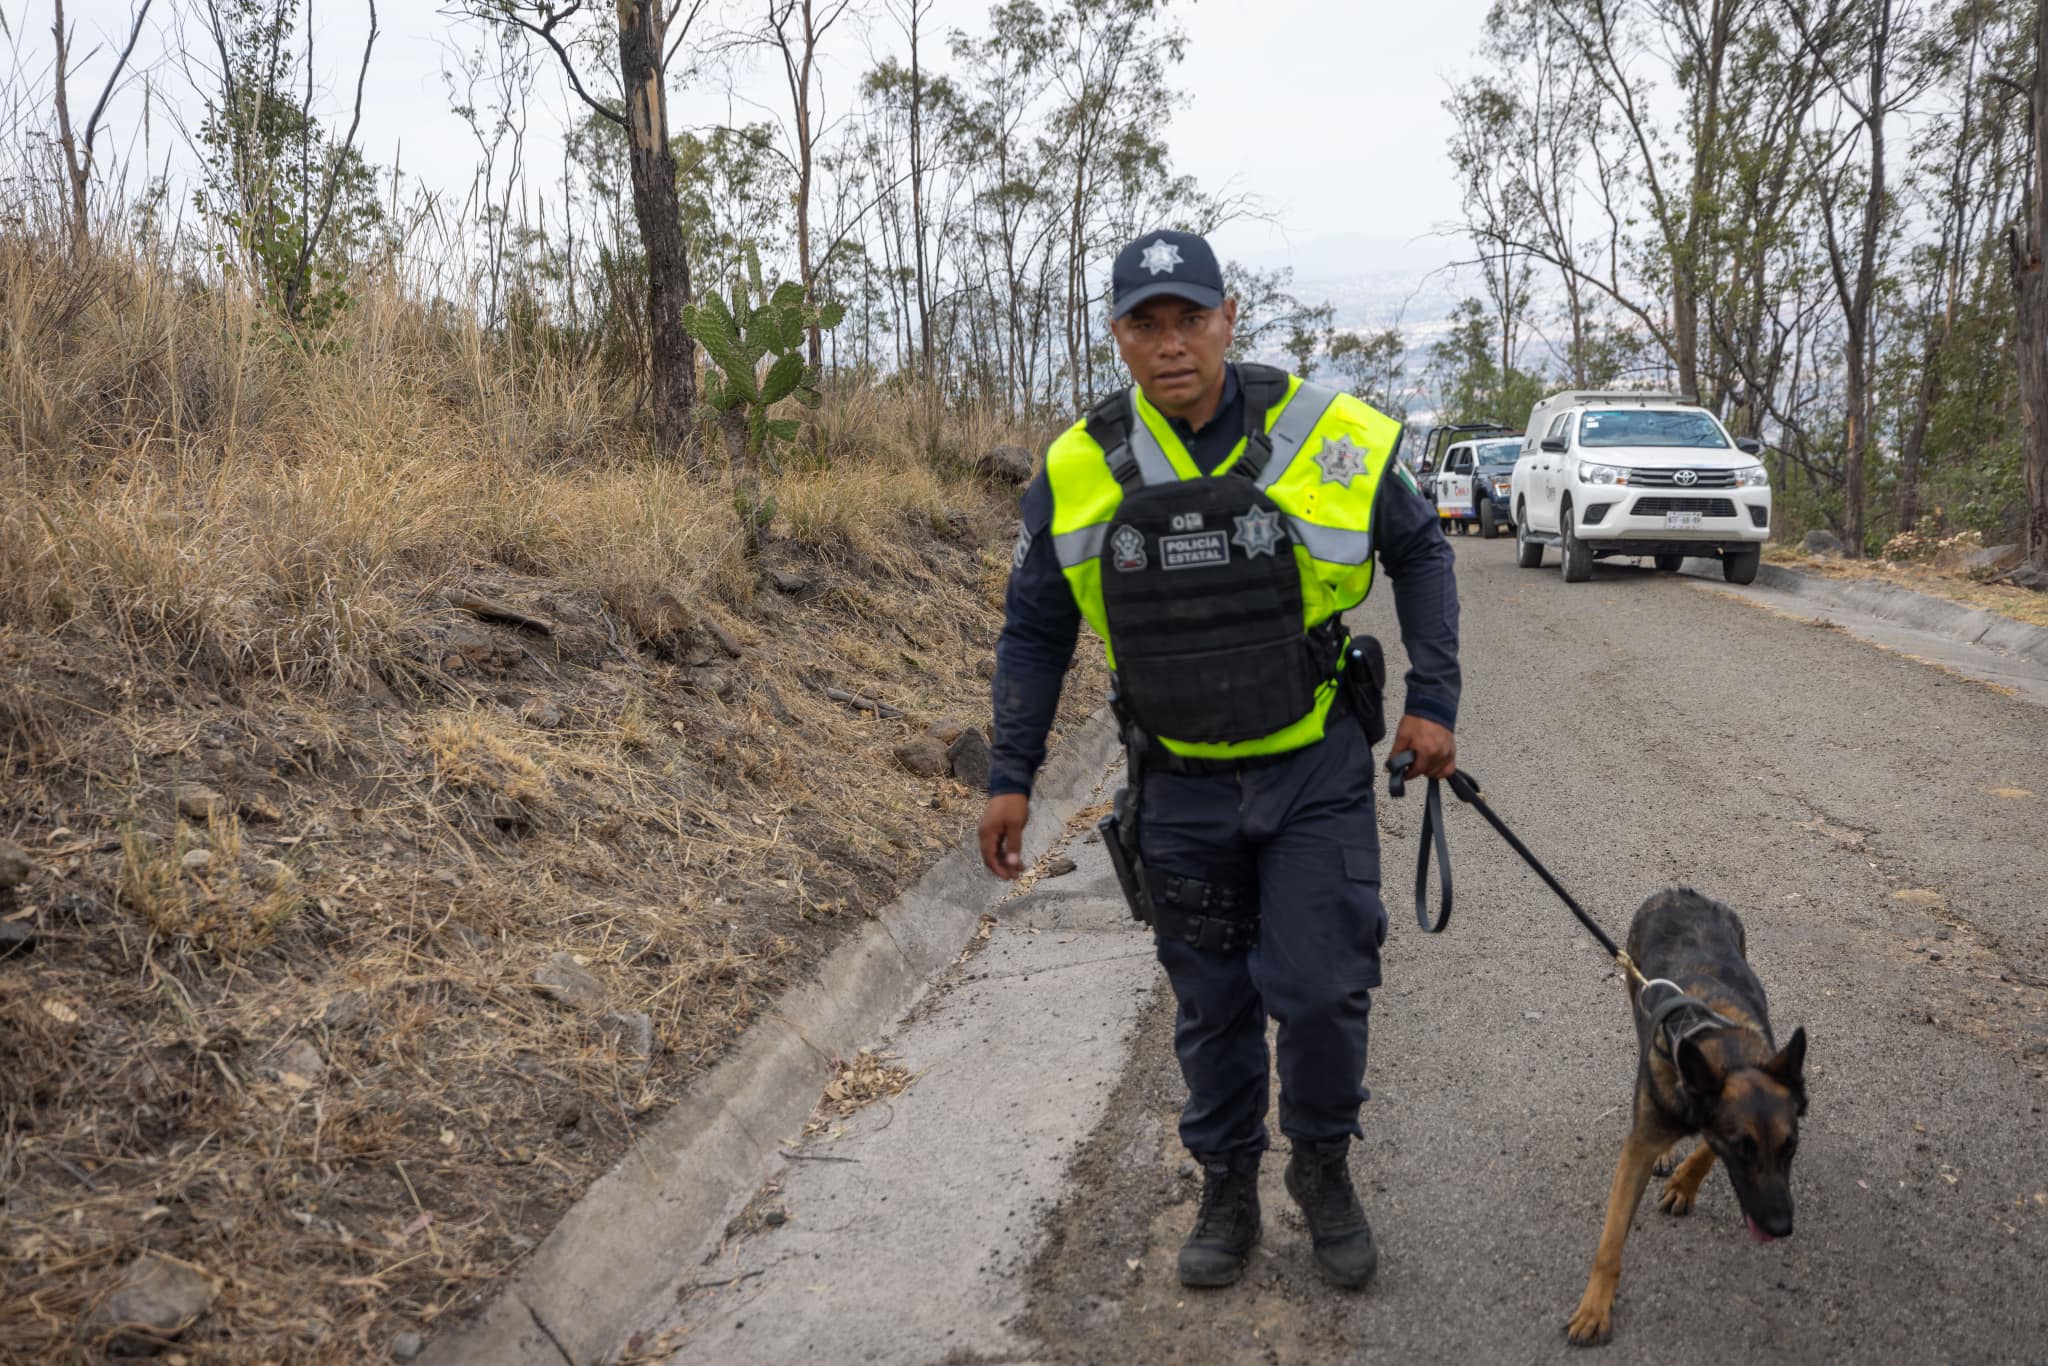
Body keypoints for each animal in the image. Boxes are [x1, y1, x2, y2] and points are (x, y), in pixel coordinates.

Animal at [1564, 888, 1810, 1343]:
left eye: (1790, 1146)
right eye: (1743, 1149)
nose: (1781, 1226)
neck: (1721, 1046)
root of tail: (1680, 892)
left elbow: (1706, 1150)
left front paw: (1685, 1183)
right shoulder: (1638, 1148)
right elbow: (1611, 1242)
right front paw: (1595, 1308)